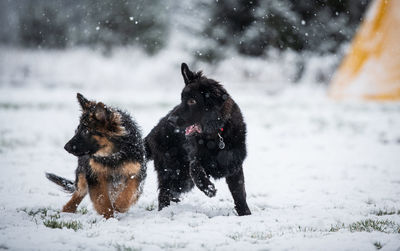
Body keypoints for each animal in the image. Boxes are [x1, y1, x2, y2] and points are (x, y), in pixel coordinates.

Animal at [144, 62, 250, 216]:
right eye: (181, 99)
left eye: (192, 101)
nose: (171, 120)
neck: (216, 135)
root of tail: (154, 132)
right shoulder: (195, 157)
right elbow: (195, 168)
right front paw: (209, 188)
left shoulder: (234, 164)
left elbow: (239, 193)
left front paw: (245, 214)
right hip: (176, 174)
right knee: (164, 193)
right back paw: (165, 212)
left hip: (181, 180)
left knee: (170, 193)